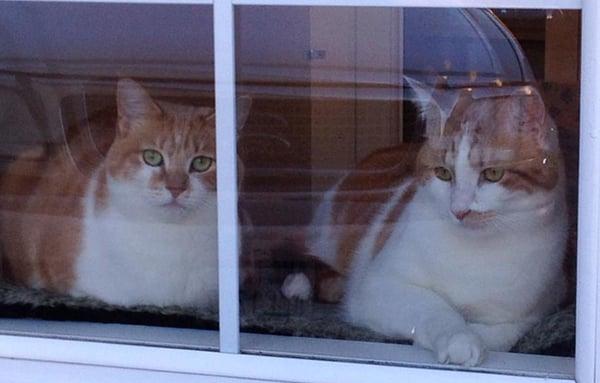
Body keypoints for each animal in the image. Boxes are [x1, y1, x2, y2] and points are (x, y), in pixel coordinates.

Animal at [284, 80, 568, 366]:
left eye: (493, 174)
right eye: (443, 173)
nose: (459, 210)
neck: (476, 250)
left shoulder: (542, 302)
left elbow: (506, 331)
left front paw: (476, 336)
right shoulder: (379, 285)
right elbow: (434, 308)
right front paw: (459, 338)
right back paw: (298, 284)